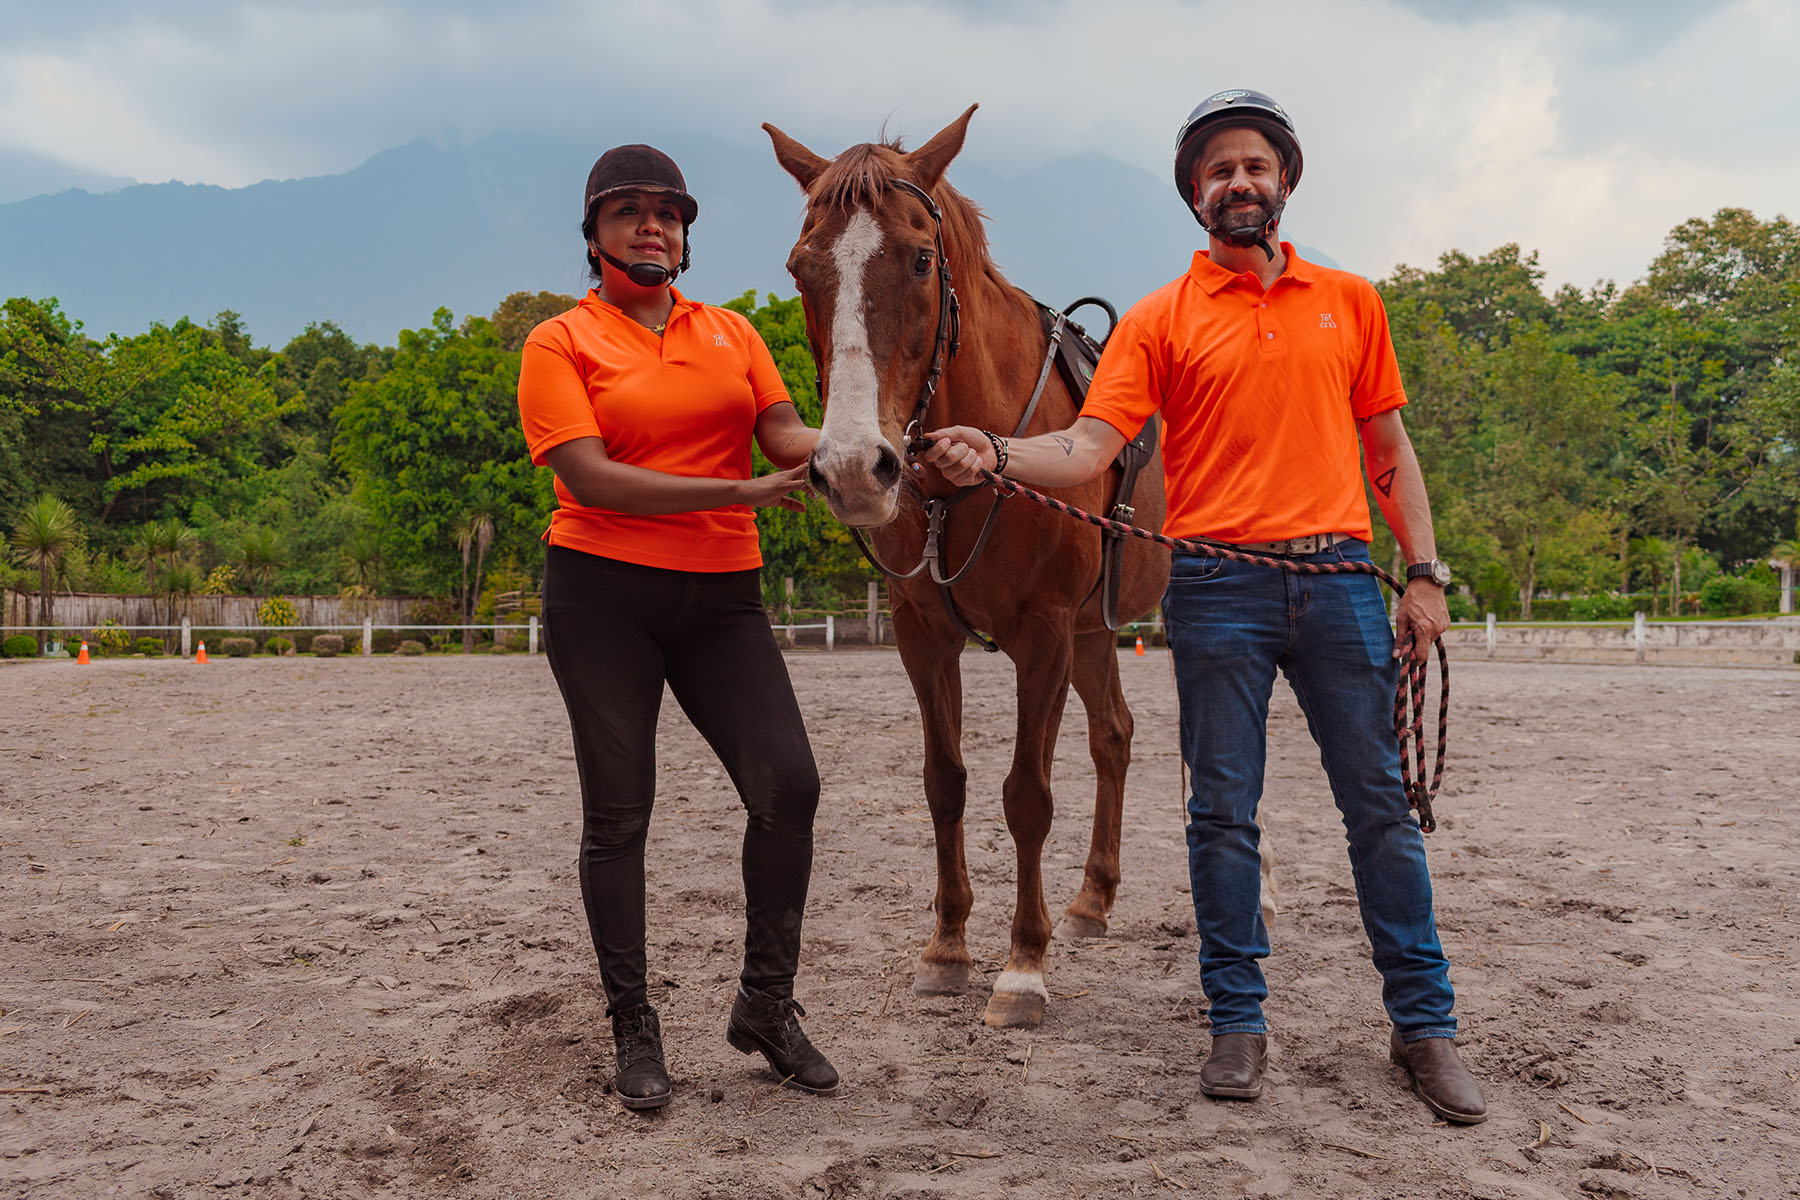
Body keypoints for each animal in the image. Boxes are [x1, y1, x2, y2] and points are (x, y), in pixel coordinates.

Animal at [763, 107, 1173, 1036]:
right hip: (1097, 635)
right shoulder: (925, 634)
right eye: (802, 266)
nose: (854, 467)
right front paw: (947, 946)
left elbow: (1026, 795)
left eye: (921, 258)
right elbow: (944, 782)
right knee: (1114, 736)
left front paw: (1023, 965)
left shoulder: (1043, 635)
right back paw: (1091, 900)